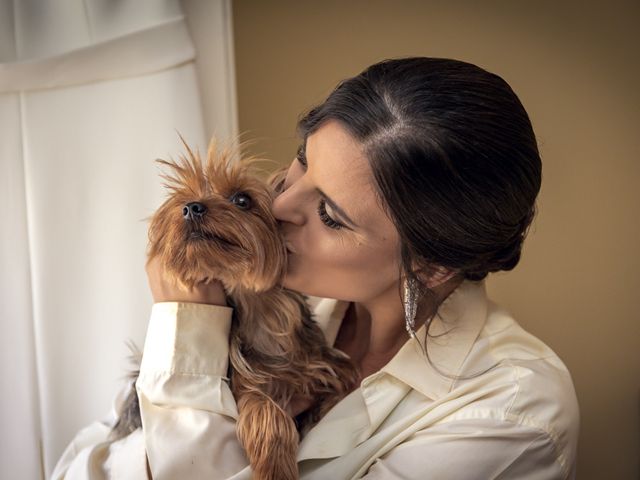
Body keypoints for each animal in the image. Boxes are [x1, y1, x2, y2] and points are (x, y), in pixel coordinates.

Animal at [110, 136, 360, 480]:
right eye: (183, 200)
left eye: (242, 199)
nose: (190, 208)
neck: (260, 309)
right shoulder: (246, 385)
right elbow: (264, 412)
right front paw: (275, 468)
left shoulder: (322, 364)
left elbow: (343, 381)